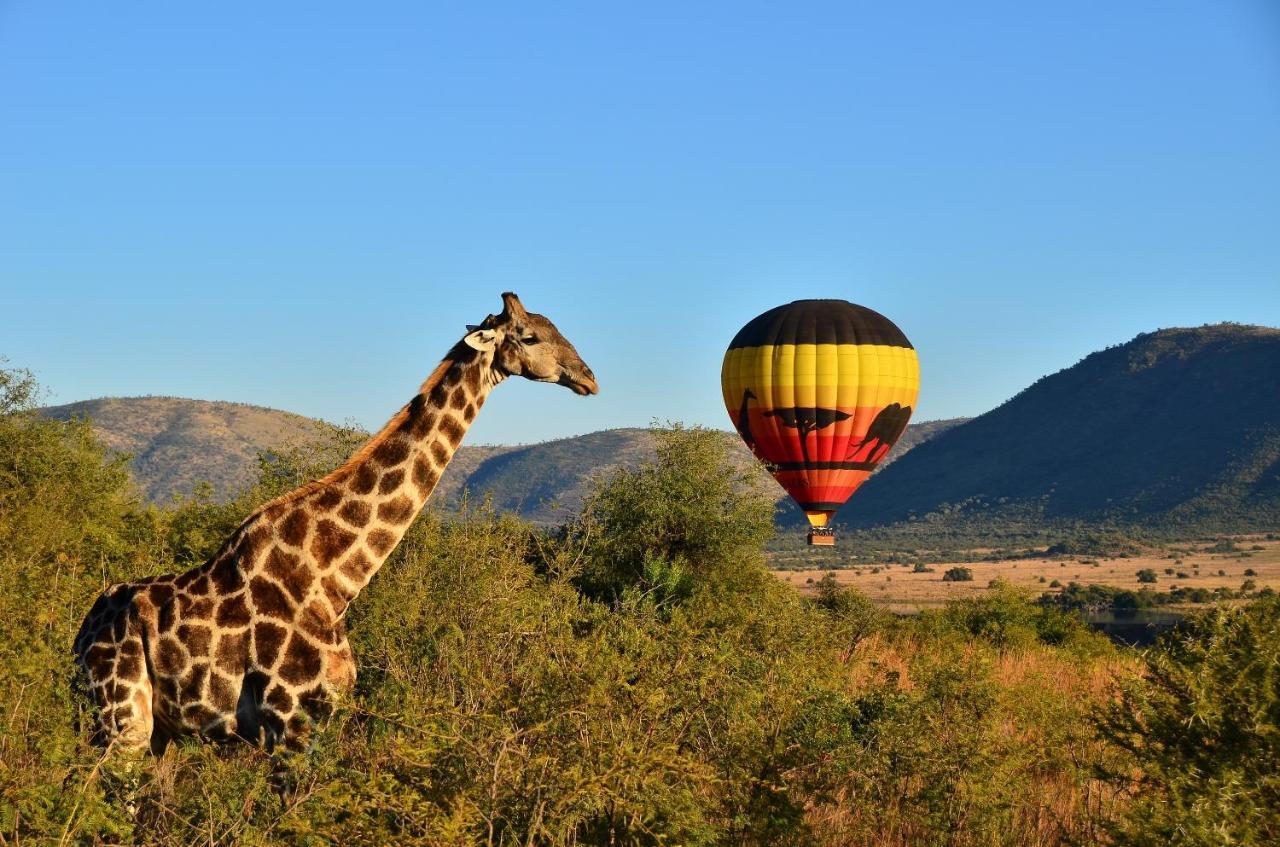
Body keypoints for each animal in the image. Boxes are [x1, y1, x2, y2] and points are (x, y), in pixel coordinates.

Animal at [74, 294, 599, 757]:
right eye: (530, 336)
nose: (589, 378)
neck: (336, 578)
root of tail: (81, 636)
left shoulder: (323, 717)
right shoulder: (290, 722)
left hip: (156, 732)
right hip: (120, 717)